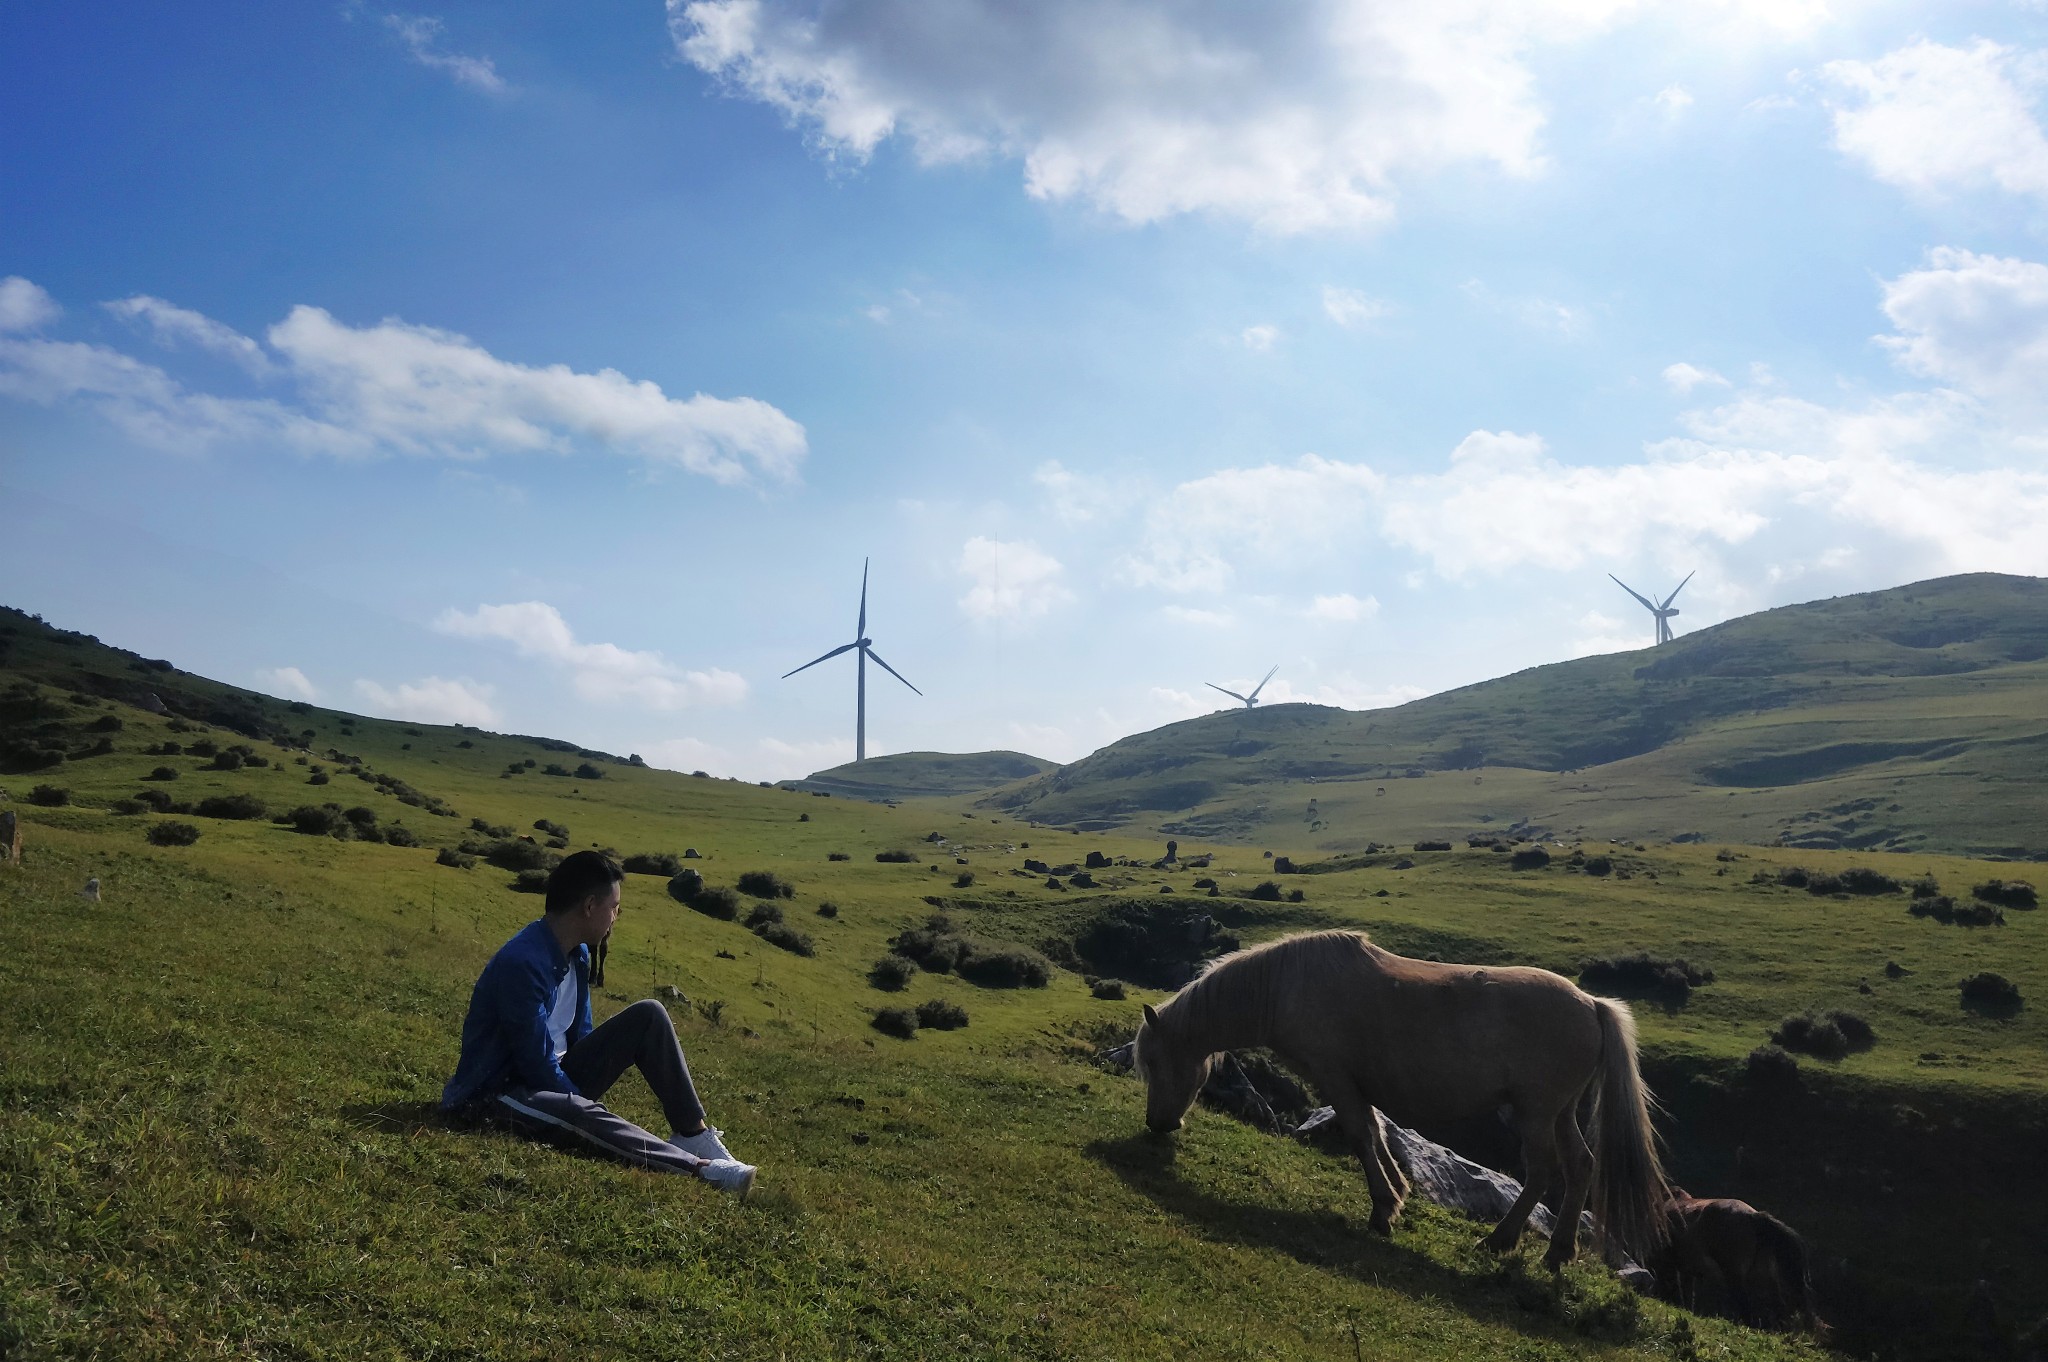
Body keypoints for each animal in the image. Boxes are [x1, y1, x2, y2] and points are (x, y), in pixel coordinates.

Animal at [1130, 925, 1671, 1261]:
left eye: (1153, 1061)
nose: (1158, 1124)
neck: (1285, 986)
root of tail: (1591, 1003)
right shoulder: (1358, 1084)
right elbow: (1375, 1133)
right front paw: (1397, 1194)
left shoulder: (1336, 1078)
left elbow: (1359, 1136)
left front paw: (1382, 1209)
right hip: (1559, 1114)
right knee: (1581, 1166)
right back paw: (1557, 1253)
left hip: (1536, 1115)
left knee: (1542, 1172)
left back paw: (1500, 1241)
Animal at [1654, 1196, 1835, 1335]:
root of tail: (1753, 1217)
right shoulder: (1686, 1271)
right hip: (1763, 1277)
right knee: (1777, 1306)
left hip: (1734, 1275)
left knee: (1744, 1302)